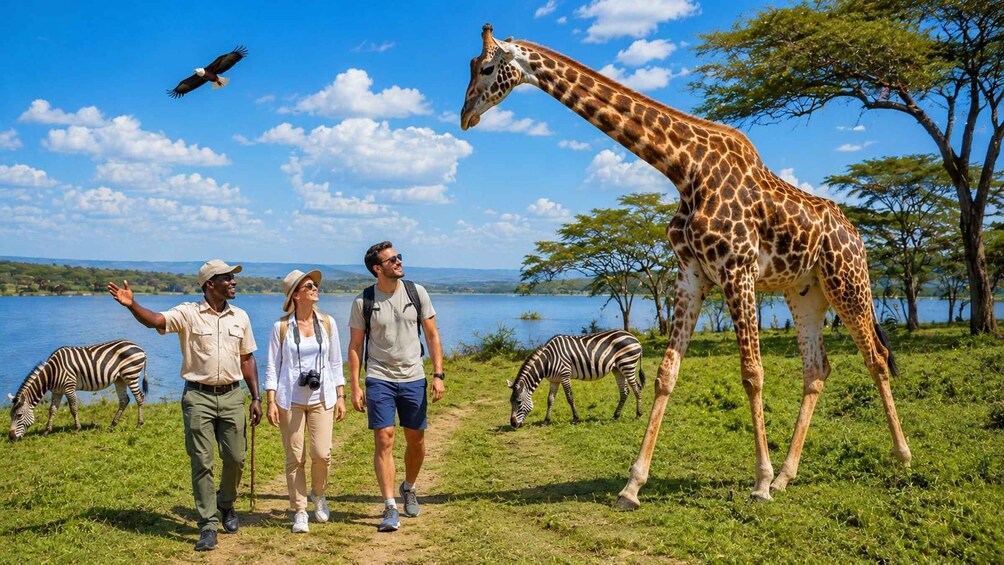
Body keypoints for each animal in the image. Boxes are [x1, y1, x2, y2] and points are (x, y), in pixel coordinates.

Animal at [460, 24, 912, 508]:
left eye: (486, 68)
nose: (465, 114)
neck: (685, 169)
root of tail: (857, 234)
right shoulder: (692, 274)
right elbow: (665, 375)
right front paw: (632, 486)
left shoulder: (737, 269)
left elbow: (752, 374)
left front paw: (759, 482)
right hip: (805, 291)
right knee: (817, 370)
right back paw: (788, 476)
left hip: (849, 283)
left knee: (876, 358)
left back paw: (901, 457)